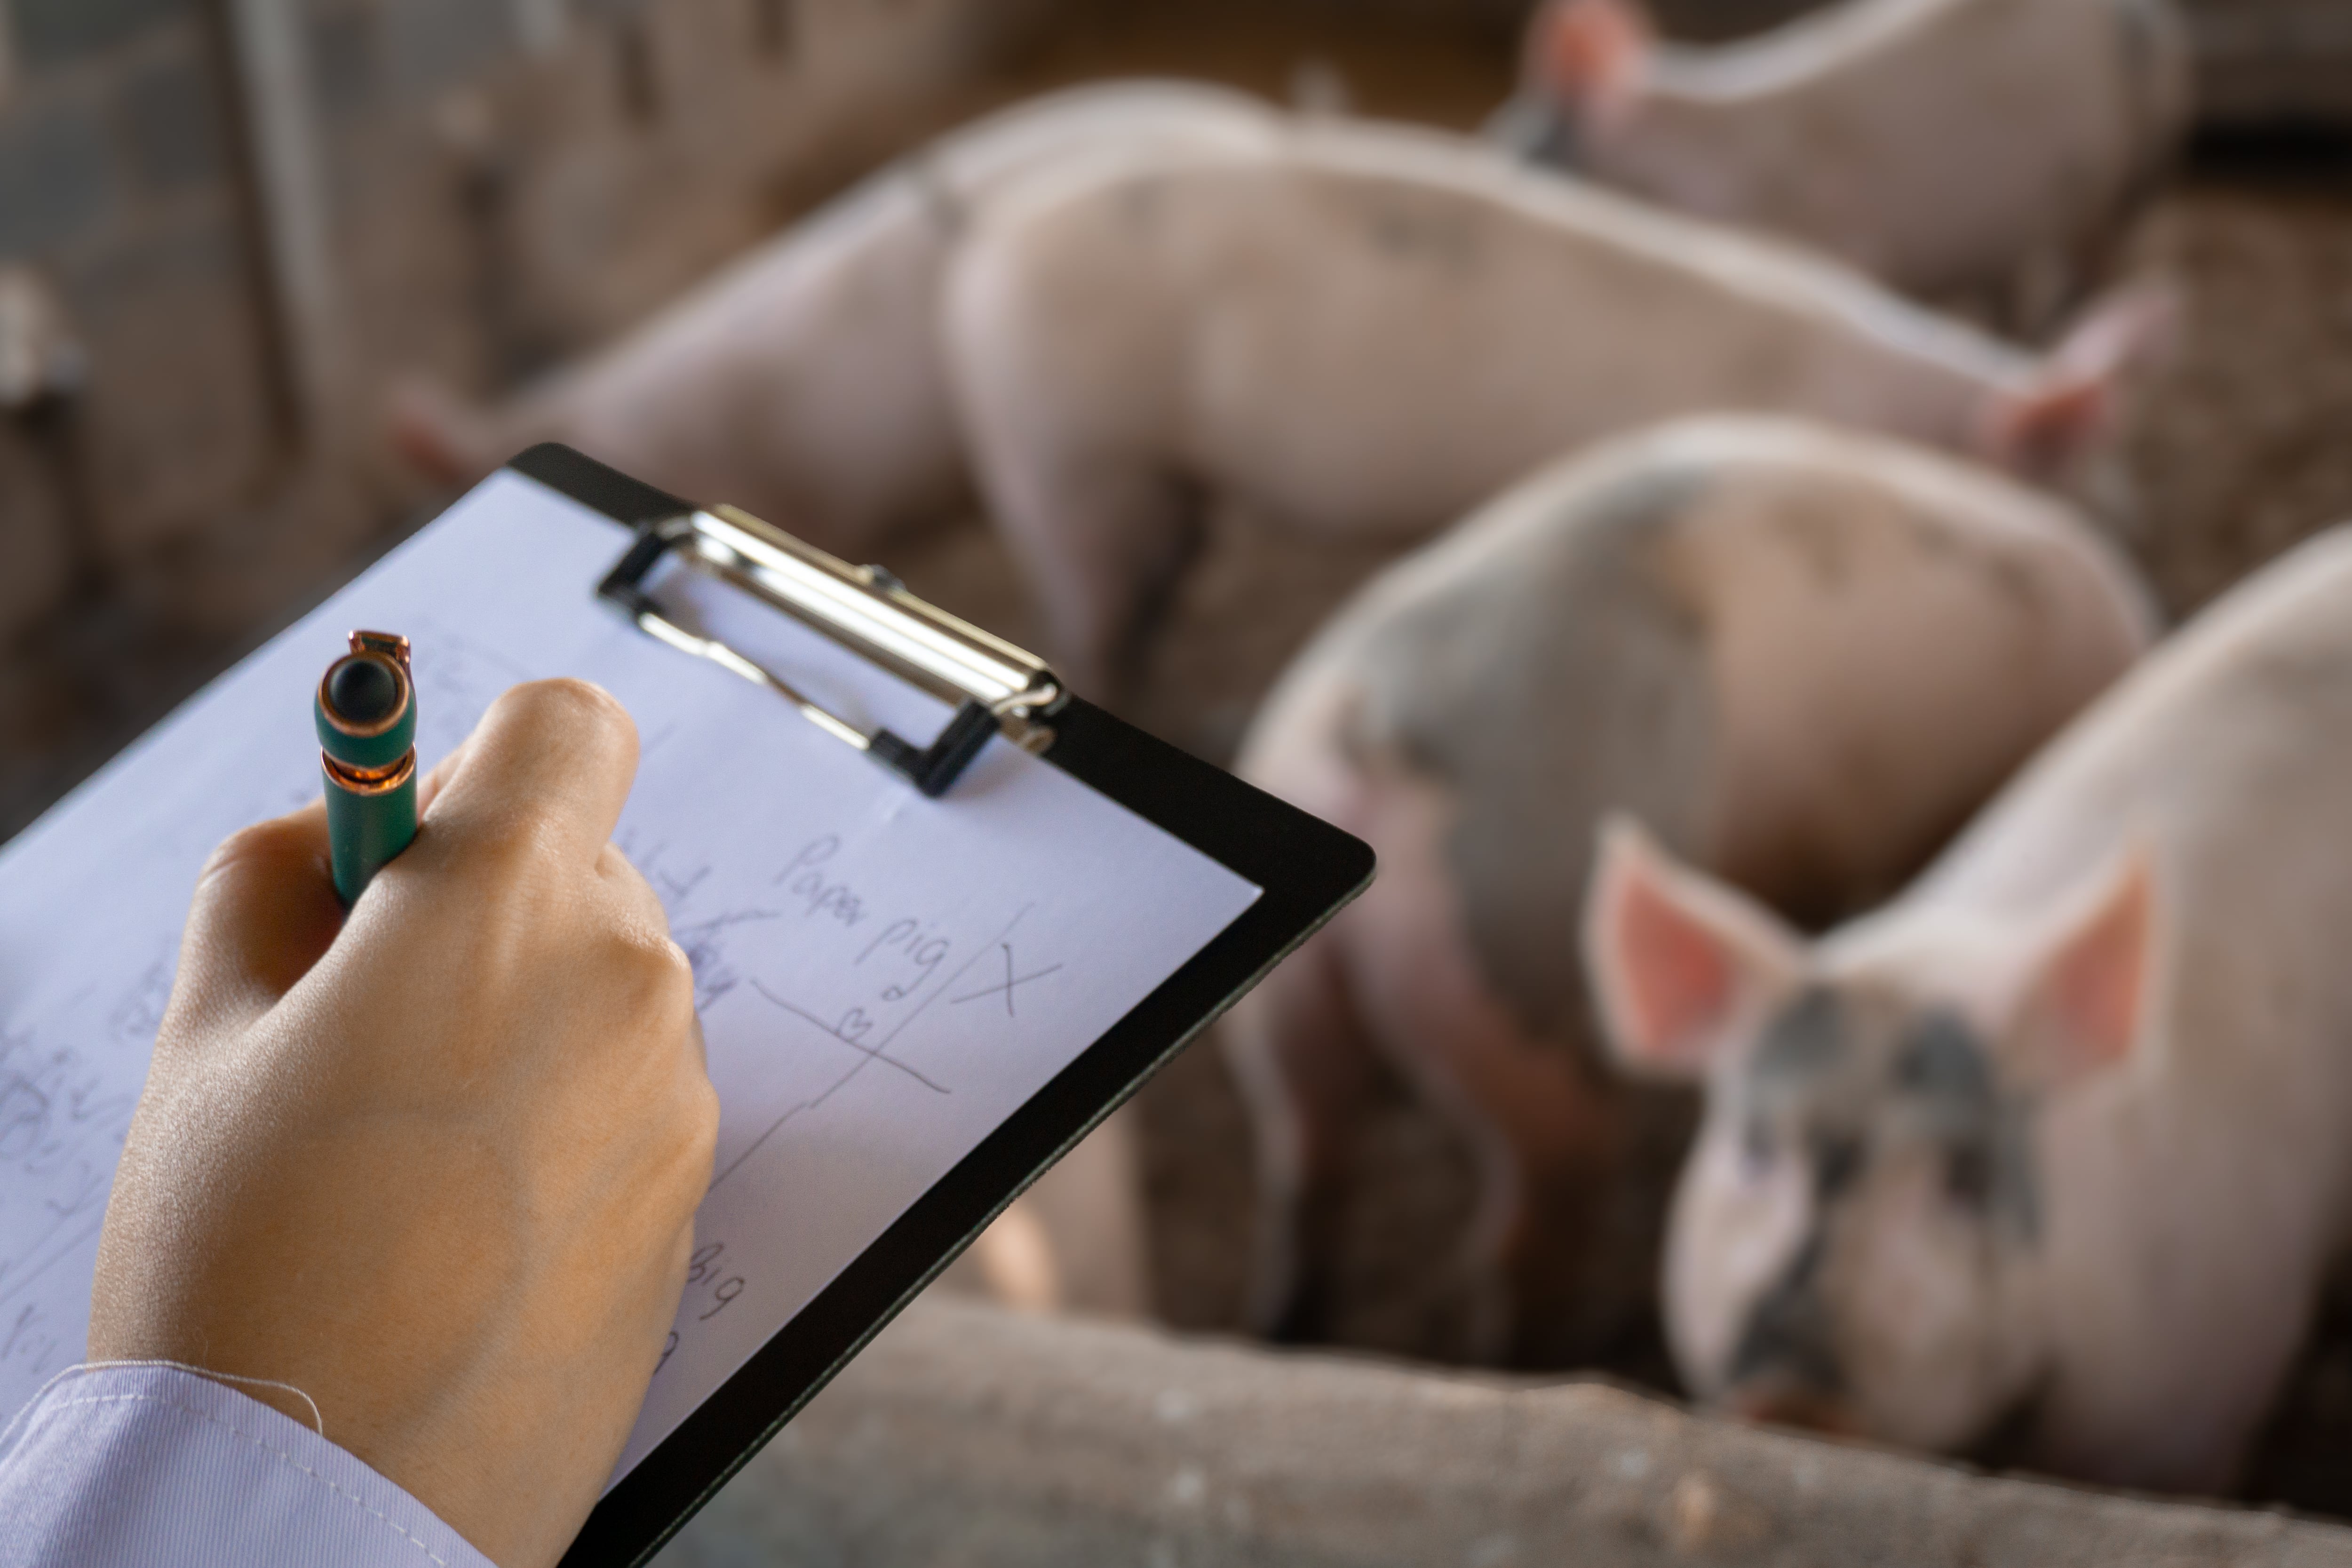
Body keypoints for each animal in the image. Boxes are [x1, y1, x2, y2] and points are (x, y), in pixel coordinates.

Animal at [941, 120, 2170, 697]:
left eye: (2123, 497)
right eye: (2070, 505)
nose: (2146, 619)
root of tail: (989, 241)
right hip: (1060, 454)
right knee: (1084, 599)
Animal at [1223, 415, 2154, 1365]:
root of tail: (1371, 735)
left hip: (1292, 1012)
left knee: (1307, 1160)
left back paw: (1287, 1330)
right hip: (1531, 1012)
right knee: (1516, 1232)